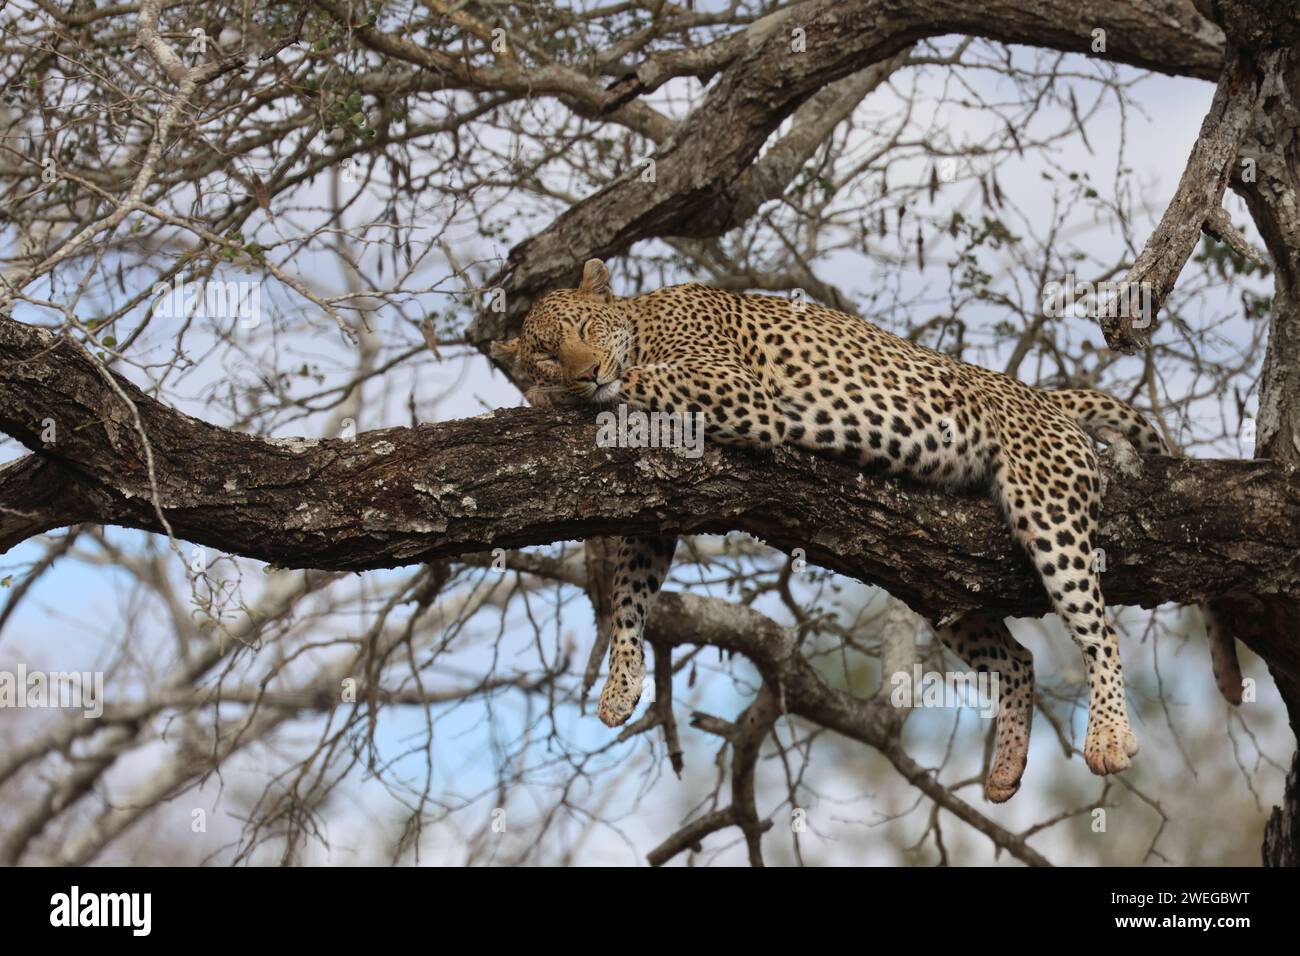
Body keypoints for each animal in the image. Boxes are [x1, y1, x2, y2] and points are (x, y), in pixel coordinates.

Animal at [491, 257, 1242, 806]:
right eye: (546, 352)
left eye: (585, 328)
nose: (584, 372)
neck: (641, 318)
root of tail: (1041, 395)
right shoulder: (659, 509)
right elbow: (632, 593)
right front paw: (621, 683)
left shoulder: (735, 389)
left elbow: (642, 382)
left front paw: (585, 392)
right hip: (946, 584)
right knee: (1019, 659)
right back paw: (1005, 770)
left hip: (1046, 507)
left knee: (1098, 629)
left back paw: (1110, 737)